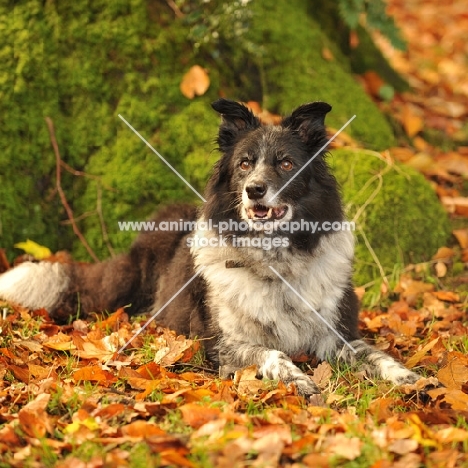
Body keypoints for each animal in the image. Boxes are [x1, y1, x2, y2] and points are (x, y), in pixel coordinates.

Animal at [0, 99, 424, 394]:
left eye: (287, 164)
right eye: (244, 163)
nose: (255, 189)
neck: (275, 263)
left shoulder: (335, 333)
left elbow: (374, 354)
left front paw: (409, 377)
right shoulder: (222, 343)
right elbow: (271, 353)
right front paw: (297, 380)